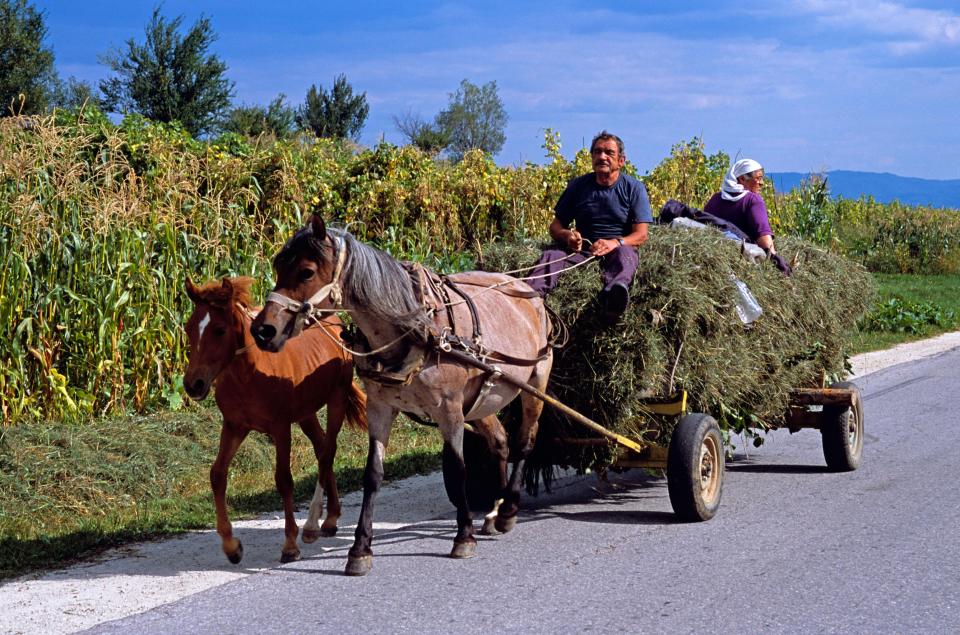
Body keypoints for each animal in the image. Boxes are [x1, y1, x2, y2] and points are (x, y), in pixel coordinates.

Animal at [185, 276, 368, 564]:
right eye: (188, 328)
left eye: (219, 330)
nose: (193, 384)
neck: (251, 374)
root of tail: (335, 322)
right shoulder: (234, 427)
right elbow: (217, 475)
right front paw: (231, 546)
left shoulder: (281, 429)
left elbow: (284, 479)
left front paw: (290, 545)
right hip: (306, 414)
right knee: (321, 449)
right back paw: (330, 517)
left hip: (336, 400)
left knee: (328, 452)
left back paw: (320, 523)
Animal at [251, 216, 556, 580]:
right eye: (278, 266)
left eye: (306, 272)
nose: (262, 331)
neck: (413, 329)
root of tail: (528, 290)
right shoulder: (381, 408)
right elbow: (373, 476)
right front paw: (360, 549)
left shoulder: (449, 411)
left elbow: (458, 470)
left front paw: (463, 537)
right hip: (480, 402)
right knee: (500, 441)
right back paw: (495, 511)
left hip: (535, 383)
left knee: (525, 441)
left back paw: (509, 508)